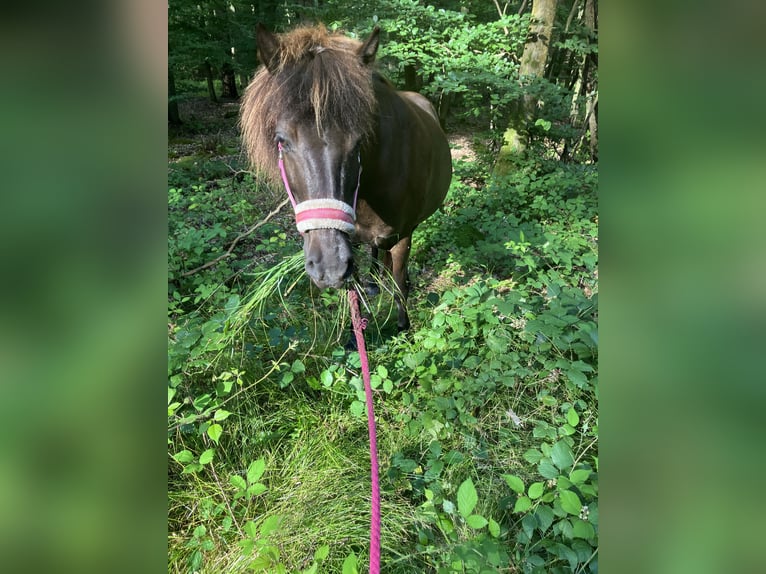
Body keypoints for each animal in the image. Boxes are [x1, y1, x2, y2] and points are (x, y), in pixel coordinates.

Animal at [243, 24, 452, 330]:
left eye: (359, 141)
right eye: (282, 140)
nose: (328, 268)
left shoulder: (402, 237)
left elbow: (400, 286)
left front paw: (403, 326)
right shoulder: (350, 242)